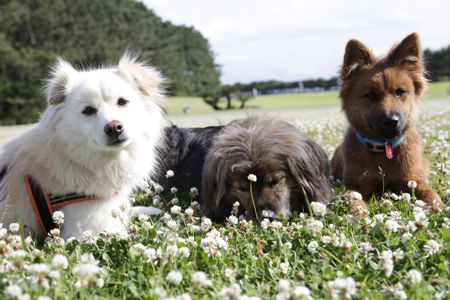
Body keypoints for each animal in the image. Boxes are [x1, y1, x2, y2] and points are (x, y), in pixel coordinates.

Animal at [0, 54, 165, 241]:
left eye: (122, 102)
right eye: (88, 110)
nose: (114, 128)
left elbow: (129, 210)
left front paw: (153, 210)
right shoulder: (85, 230)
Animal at [330, 33, 446, 213]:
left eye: (400, 92)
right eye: (370, 95)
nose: (392, 121)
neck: (384, 149)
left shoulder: (414, 181)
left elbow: (431, 195)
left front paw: (440, 208)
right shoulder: (354, 186)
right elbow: (353, 200)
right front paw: (360, 214)